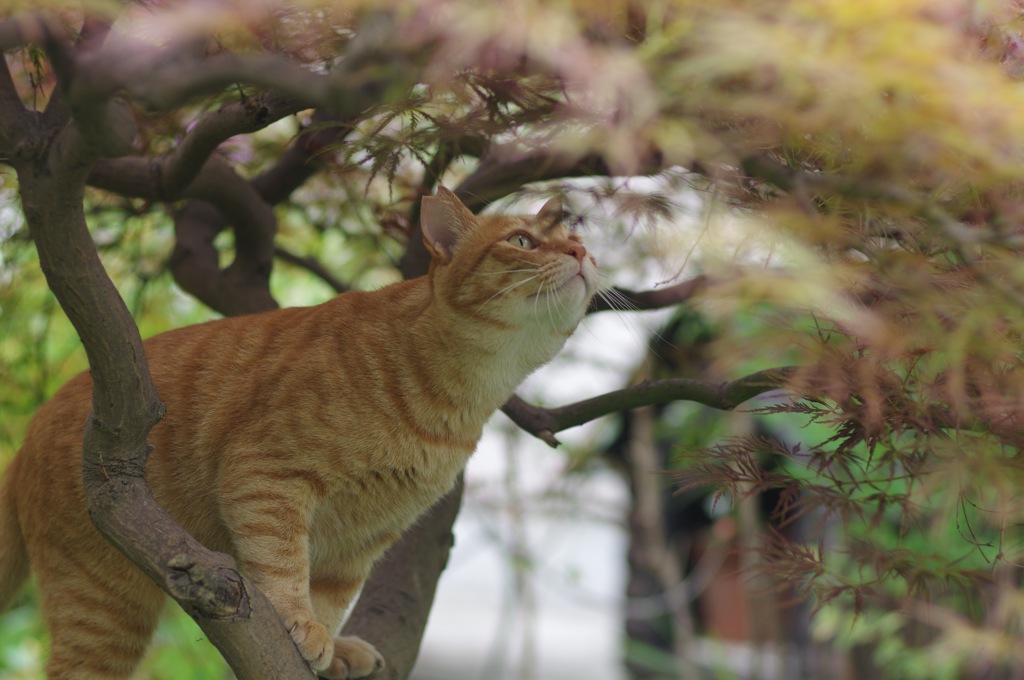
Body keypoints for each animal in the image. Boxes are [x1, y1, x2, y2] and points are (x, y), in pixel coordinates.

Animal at [0, 187, 598, 680]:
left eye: (579, 242)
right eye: (521, 241)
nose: (579, 254)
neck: (457, 398)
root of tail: (28, 434)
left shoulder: (360, 541)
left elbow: (329, 598)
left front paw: (326, 644)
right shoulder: (266, 475)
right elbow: (281, 561)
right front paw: (298, 623)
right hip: (104, 605)